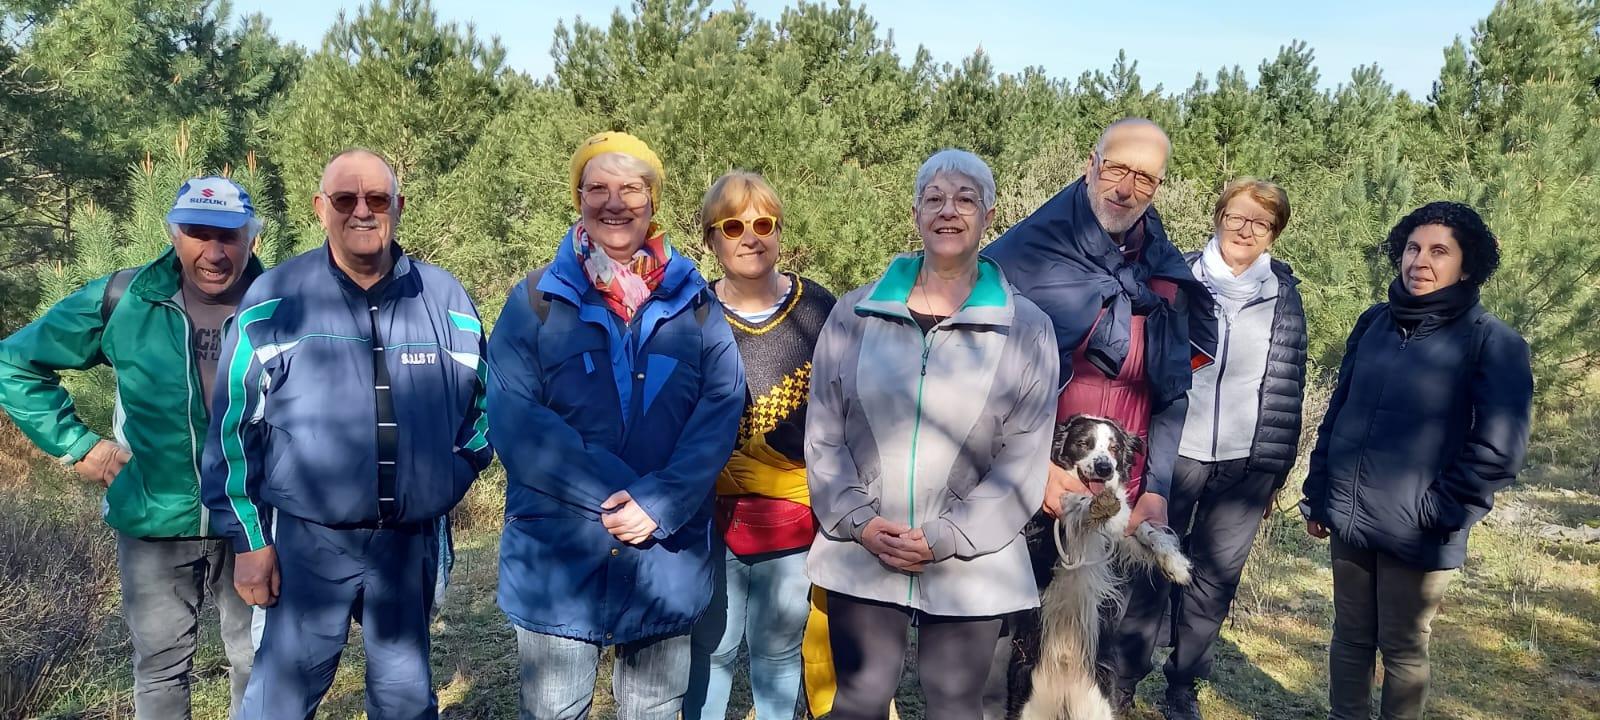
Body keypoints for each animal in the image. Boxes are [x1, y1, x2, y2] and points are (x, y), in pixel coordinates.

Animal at [1024, 412, 1190, 720]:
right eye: (1082, 443)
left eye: (1115, 449)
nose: (1104, 468)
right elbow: (1072, 503)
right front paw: (1085, 503)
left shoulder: (1118, 535)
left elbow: (1145, 530)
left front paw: (1176, 564)